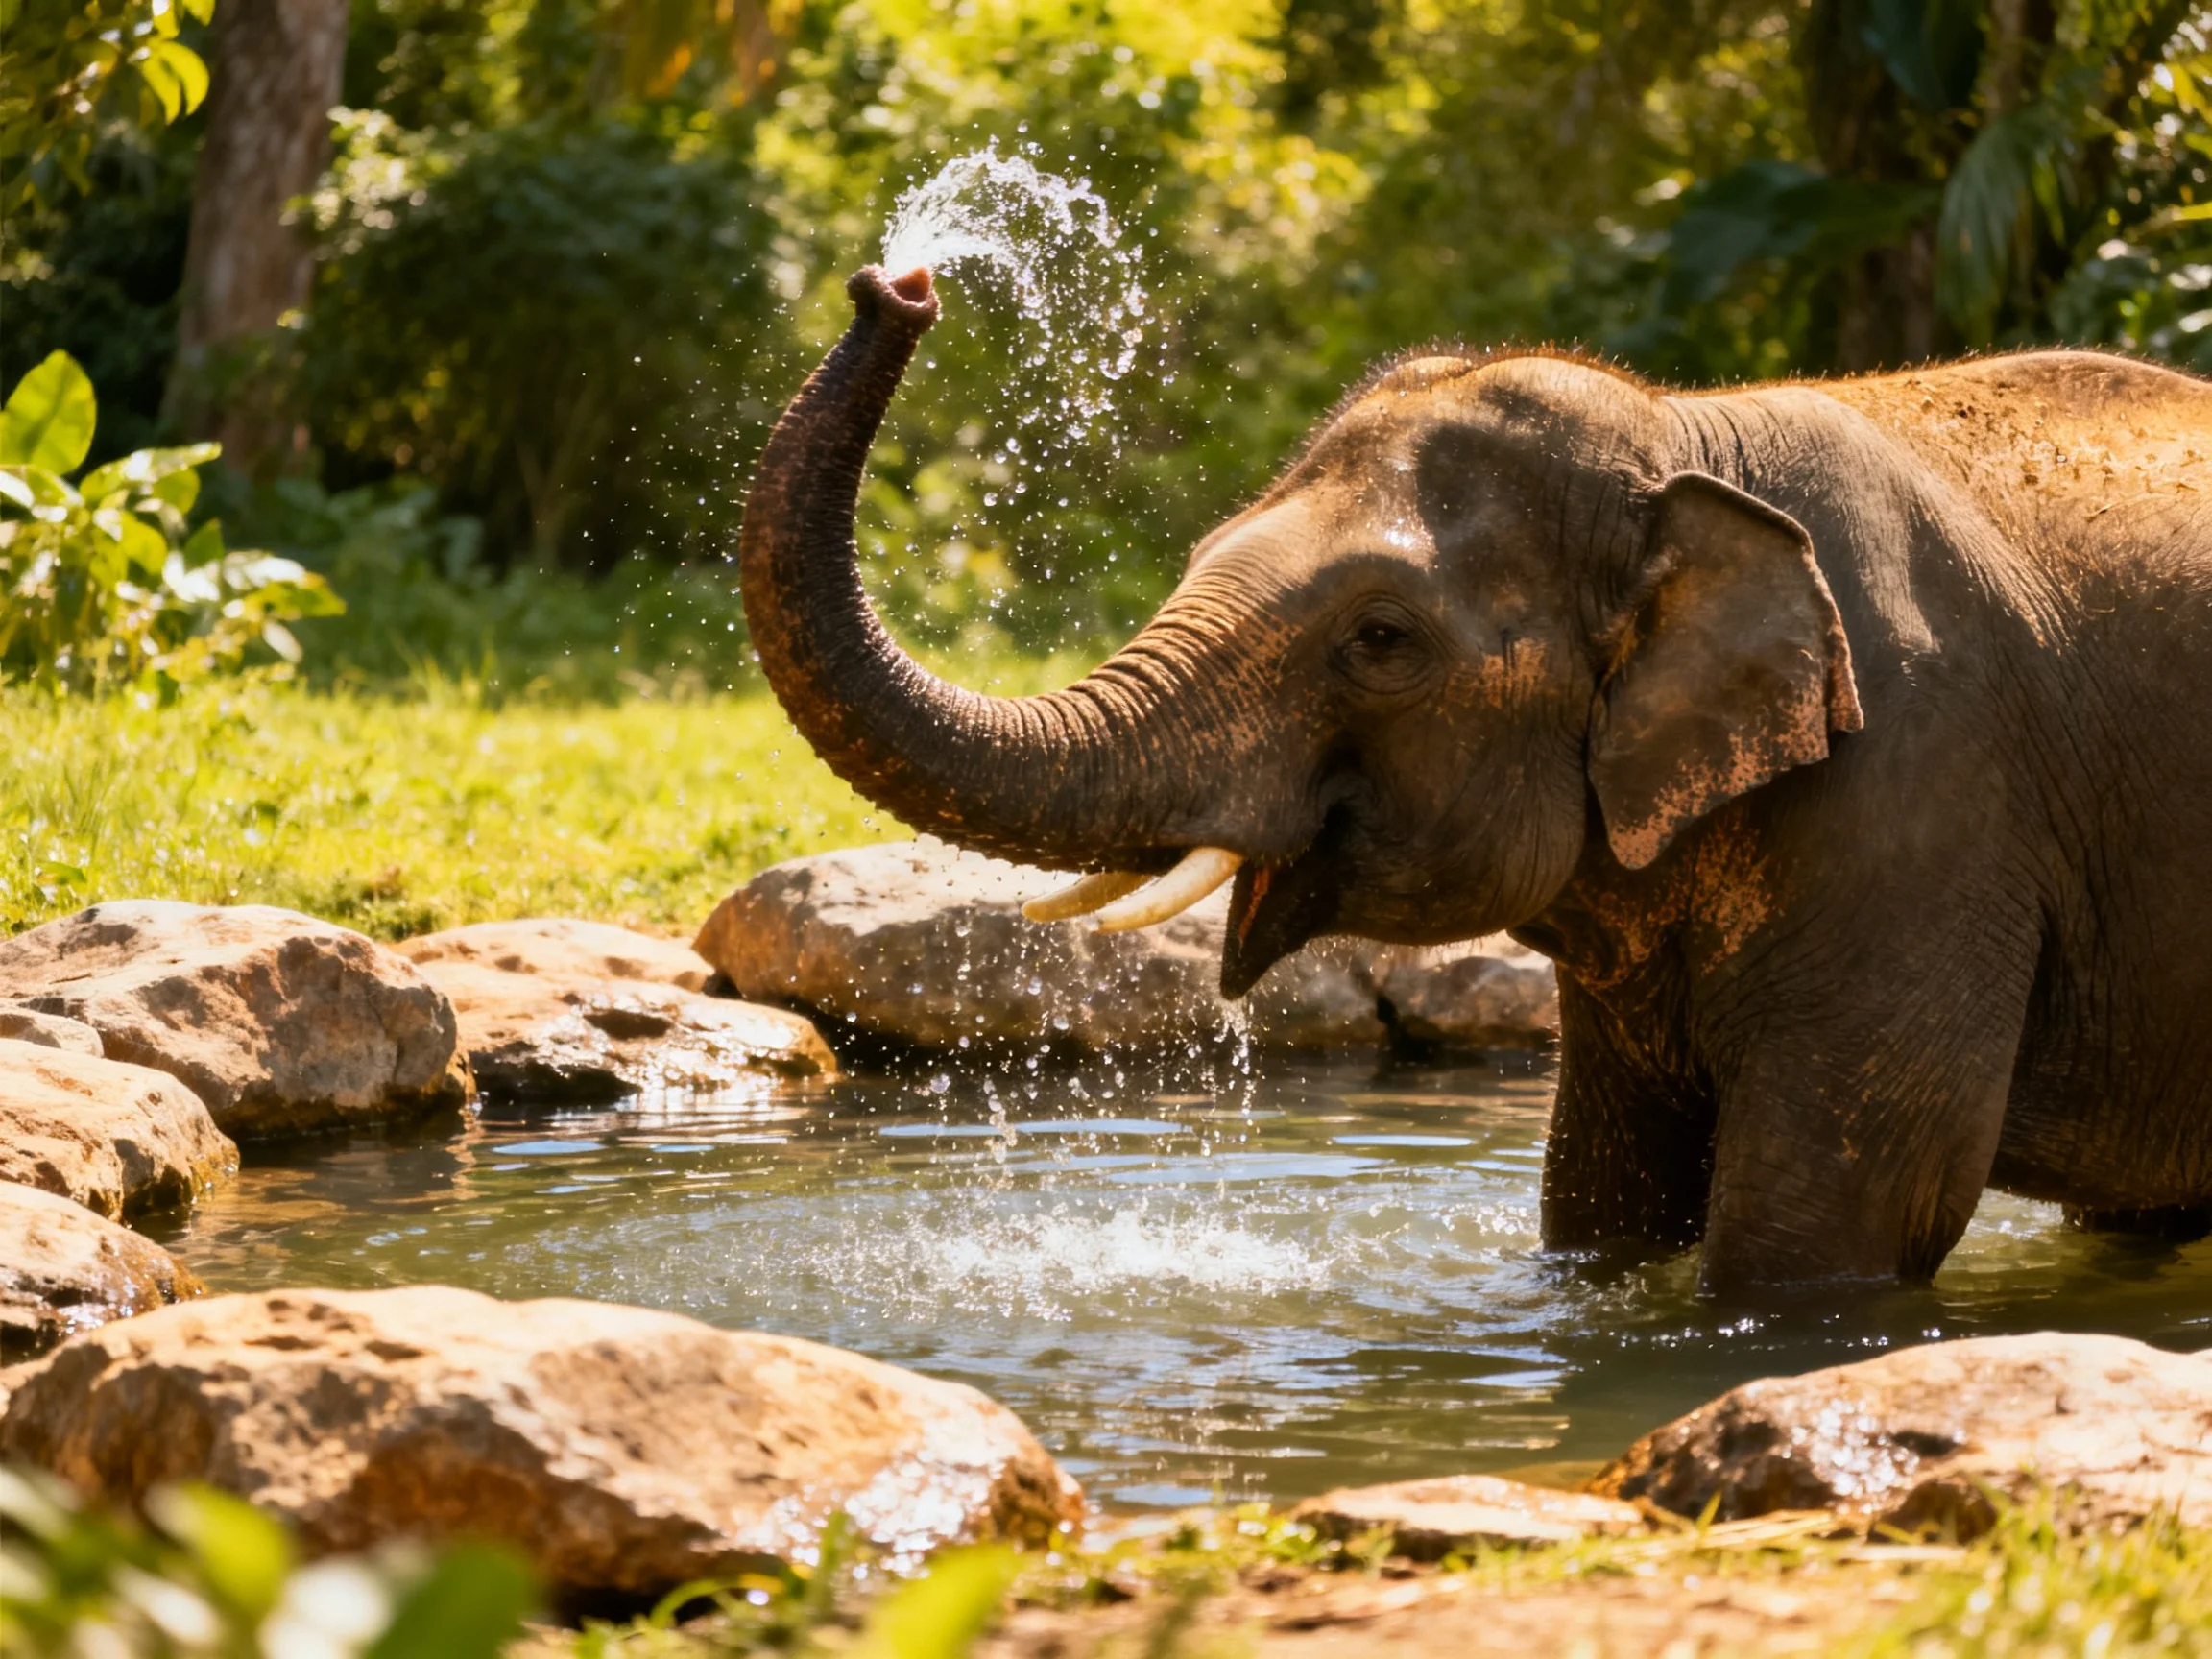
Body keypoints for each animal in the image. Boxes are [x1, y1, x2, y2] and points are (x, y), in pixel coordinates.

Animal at [740, 263, 2212, 1291]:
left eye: (1381, 640)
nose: (901, 283)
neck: (1689, 435)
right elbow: (1601, 1196)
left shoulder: (1926, 808)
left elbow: (1843, 1217)